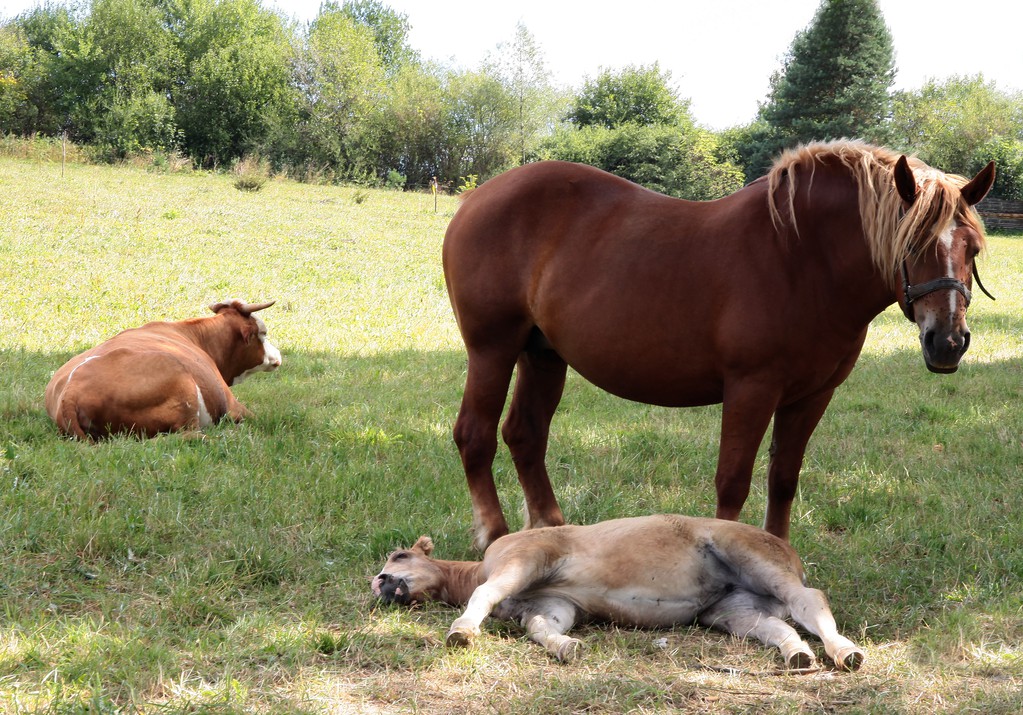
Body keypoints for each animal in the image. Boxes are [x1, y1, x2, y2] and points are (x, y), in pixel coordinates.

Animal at [372, 515, 867, 671]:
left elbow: (486, 594)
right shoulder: (551, 605)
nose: (381, 583)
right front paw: (568, 647)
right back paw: (799, 656)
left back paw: (847, 652)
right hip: (734, 610)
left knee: (810, 600)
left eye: (399, 554)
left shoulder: (528, 557)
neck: (476, 566)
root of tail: (789, 550)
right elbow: (543, 629)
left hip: (751, 556)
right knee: (782, 629)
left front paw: (461, 631)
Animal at [443, 142, 994, 552]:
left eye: (972, 249)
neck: (800, 257)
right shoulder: (751, 388)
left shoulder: (812, 396)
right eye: (911, 243)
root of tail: (477, 199)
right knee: (476, 434)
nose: (948, 342)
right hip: (492, 349)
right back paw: (494, 537)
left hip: (543, 356)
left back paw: (552, 531)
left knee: (525, 434)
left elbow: (783, 479)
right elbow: (733, 480)